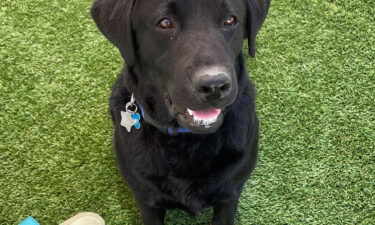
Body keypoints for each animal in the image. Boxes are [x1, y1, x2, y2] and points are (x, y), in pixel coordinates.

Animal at [92, 0, 270, 224]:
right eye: (165, 23)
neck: (189, 143)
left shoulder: (230, 195)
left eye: (230, 20)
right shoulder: (147, 200)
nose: (214, 86)